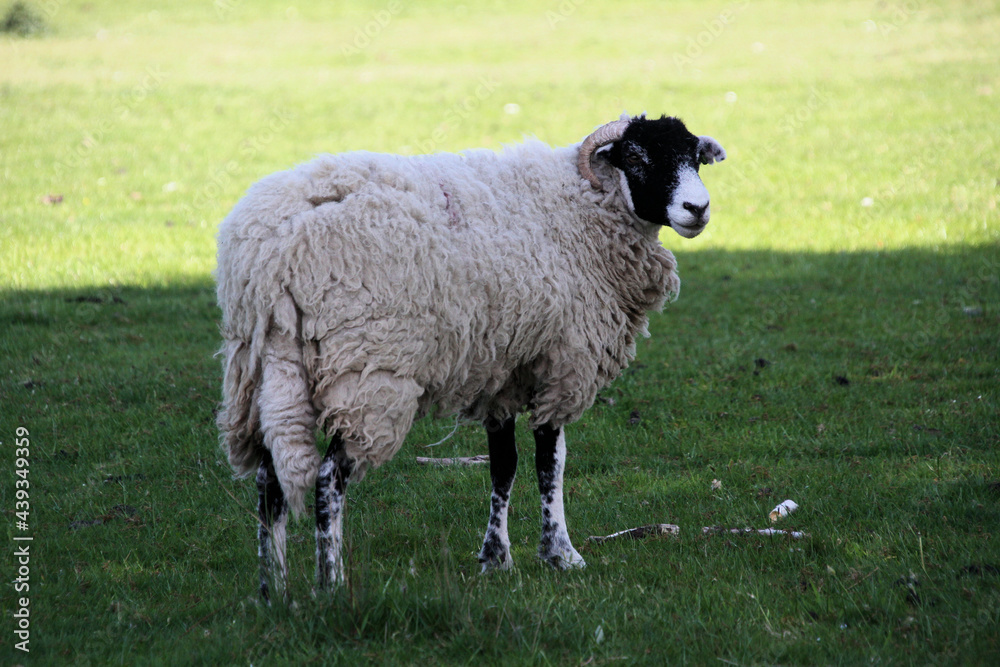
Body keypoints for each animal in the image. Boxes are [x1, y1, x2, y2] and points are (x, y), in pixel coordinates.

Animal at [215, 111, 724, 600]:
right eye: (636, 157)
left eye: (694, 158)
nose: (698, 209)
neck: (582, 204)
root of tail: (269, 262)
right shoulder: (562, 361)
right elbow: (550, 462)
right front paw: (561, 553)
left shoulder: (502, 369)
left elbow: (504, 468)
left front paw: (496, 557)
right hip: (366, 375)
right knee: (327, 480)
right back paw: (331, 585)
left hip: (268, 373)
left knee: (269, 482)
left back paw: (274, 591)